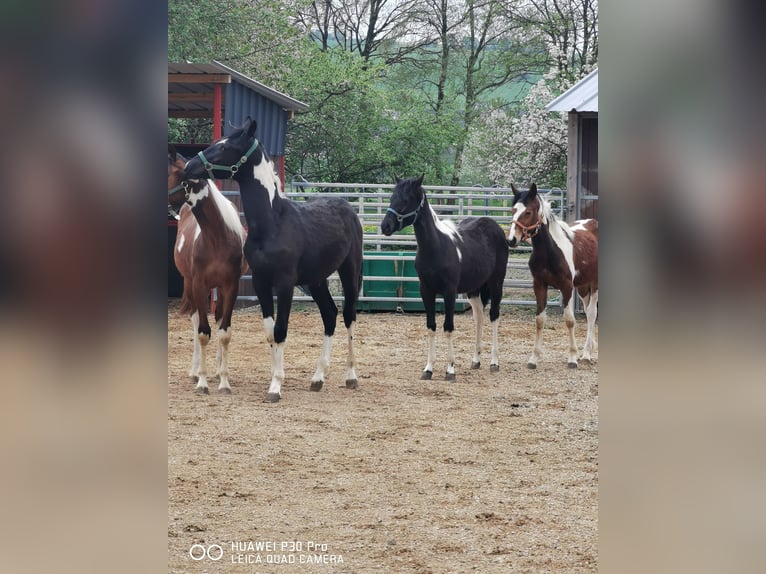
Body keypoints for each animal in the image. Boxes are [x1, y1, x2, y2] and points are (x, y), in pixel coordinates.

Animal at [169, 146, 249, 394]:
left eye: (169, 173)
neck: (216, 239)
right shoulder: (198, 284)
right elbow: (203, 332)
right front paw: (202, 382)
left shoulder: (230, 286)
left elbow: (224, 331)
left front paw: (223, 380)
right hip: (190, 284)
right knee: (196, 321)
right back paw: (195, 371)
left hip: (219, 290)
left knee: (219, 317)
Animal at [186, 118, 366, 404]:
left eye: (225, 146)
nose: (190, 166)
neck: (272, 223)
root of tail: (347, 208)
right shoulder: (261, 282)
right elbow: (270, 331)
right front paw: (274, 378)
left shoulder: (284, 284)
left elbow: (281, 330)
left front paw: (276, 387)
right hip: (316, 281)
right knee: (329, 315)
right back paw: (317, 378)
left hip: (349, 272)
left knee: (349, 316)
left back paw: (350, 376)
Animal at [382, 176, 510, 382]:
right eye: (392, 197)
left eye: (406, 199)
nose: (385, 226)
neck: (436, 247)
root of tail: (496, 227)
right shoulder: (426, 291)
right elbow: (431, 326)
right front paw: (428, 369)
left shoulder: (449, 292)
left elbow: (448, 327)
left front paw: (450, 370)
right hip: (473, 290)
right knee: (479, 317)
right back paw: (476, 360)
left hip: (496, 283)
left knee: (494, 316)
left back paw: (494, 363)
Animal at [510, 187, 600, 372]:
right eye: (513, 210)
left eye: (528, 212)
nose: (512, 239)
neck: (550, 251)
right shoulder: (539, 286)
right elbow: (539, 320)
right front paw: (534, 358)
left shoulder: (566, 287)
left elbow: (570, 320)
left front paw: (572, 358)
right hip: (582, 287)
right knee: (588, 311)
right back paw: (588, 349)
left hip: (594, 283)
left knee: (592, 313)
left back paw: (587, 354)